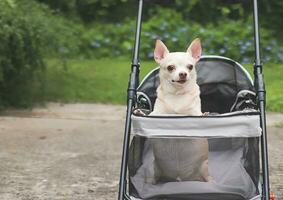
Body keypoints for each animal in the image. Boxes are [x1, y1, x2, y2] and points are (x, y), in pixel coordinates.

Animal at [150, 38, 212, 183]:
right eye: (170, 67)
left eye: (190, 67)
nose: (183, 73)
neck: (177, 94)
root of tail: (181, 177)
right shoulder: (157, 113)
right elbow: (152, 114)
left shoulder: (195, 113)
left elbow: (197, 115)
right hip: (155, 167)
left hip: (204, 168)